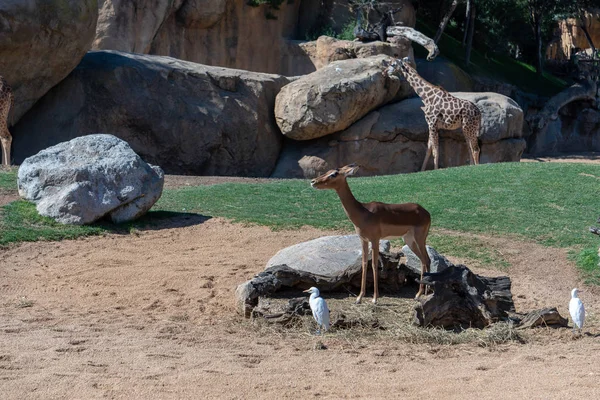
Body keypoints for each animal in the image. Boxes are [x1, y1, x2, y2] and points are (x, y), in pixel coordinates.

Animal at [310, 163, 432, 304]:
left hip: (419, 238)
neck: (364, 213)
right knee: (423, 260)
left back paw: (424, 293)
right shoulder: (363, 239)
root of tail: (426, 212)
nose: (313, 181)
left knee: (426, 259)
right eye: (328, 170)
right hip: (409, 240)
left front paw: (374, 298)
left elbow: (374, 265)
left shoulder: (375, 239)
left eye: (334, 174)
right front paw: (359, 298)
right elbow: (364, 264)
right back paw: (421, 294)